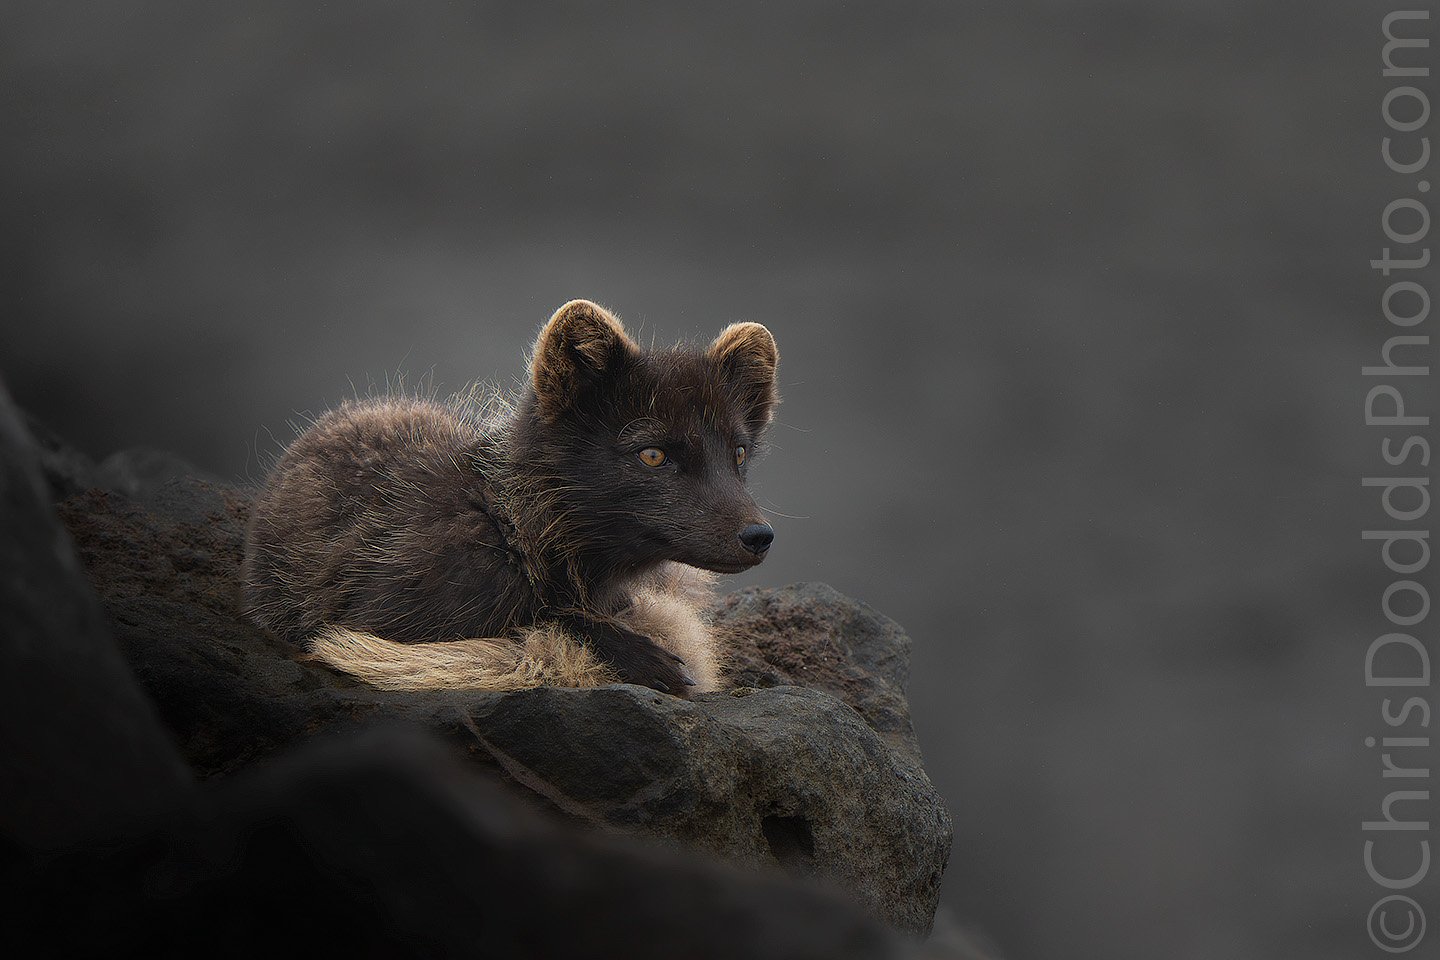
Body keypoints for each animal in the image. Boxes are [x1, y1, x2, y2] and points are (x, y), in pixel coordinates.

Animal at [240, 299, 779, 697]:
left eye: (738, 452)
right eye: (652, 454)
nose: (759, 536)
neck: (512, 524)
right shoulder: (378, 613)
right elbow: (550, 616)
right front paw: (648, 658)